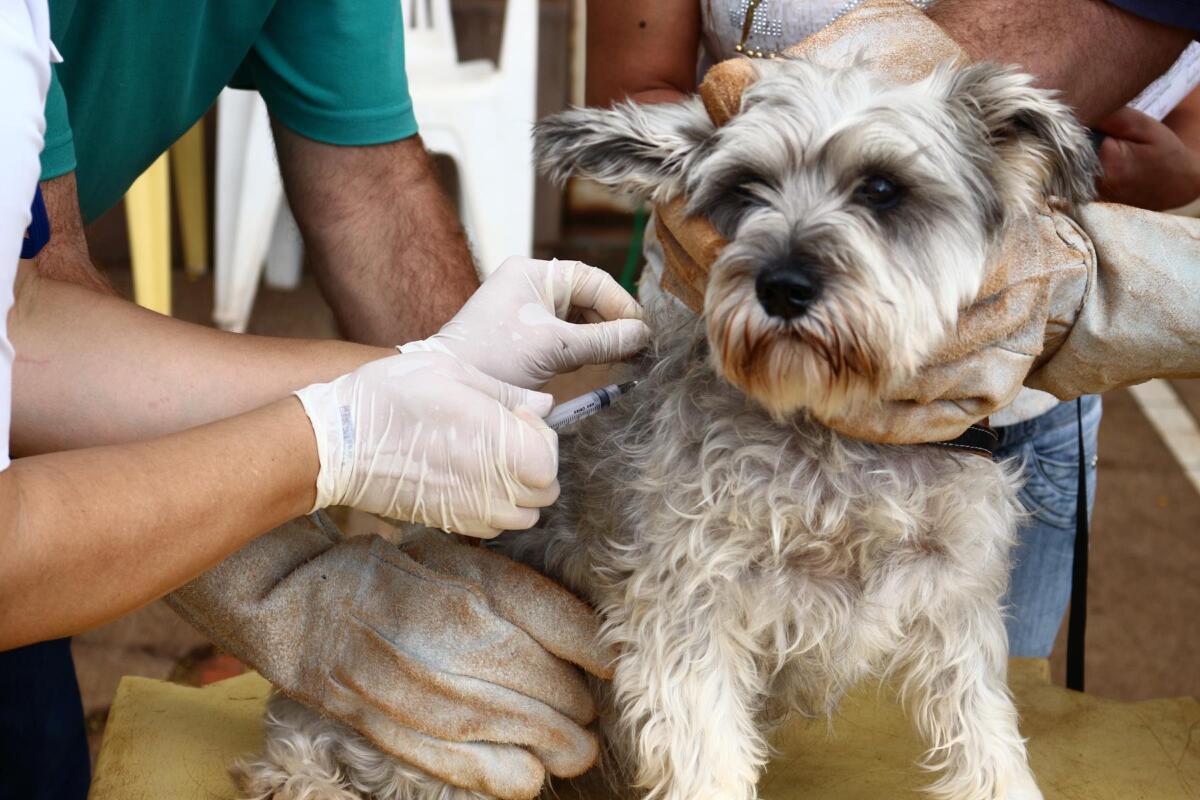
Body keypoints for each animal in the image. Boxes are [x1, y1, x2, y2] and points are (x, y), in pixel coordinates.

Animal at [231, 57, 1099, 800]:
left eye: (882, 188)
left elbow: (985, 735)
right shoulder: (686, 616)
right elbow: (708, 756)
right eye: (746, 189)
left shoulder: (957, 606)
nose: (782, 286)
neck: (834, 441)